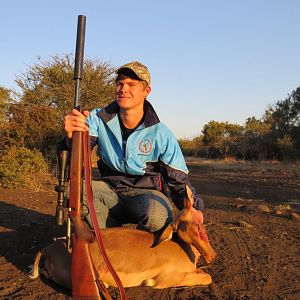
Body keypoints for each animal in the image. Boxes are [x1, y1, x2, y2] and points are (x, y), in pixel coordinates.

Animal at [29, 188, 216, 288]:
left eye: (200, 221)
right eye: (189, 225)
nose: (211, 255)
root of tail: (48, 249)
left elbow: (203, 273)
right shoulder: (167, 279)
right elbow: (208, 277)